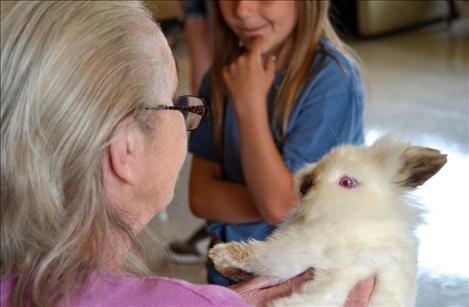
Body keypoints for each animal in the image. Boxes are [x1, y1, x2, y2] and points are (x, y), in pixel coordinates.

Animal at [208, 138, 446, 307]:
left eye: (347, 182)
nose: (305, 184)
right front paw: (226, 267)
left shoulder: (302, 253)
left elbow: (260, 256)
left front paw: (220, 254)